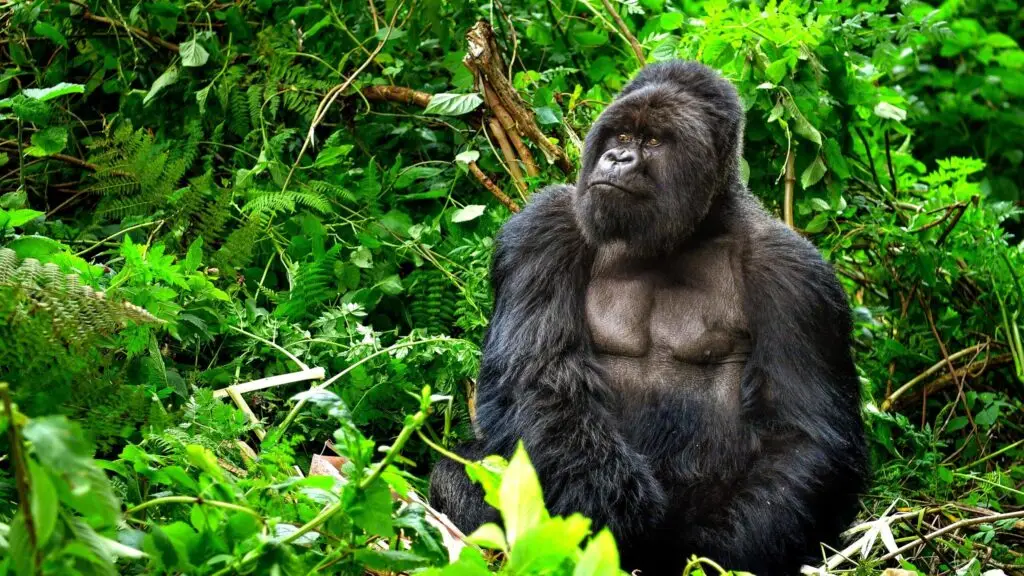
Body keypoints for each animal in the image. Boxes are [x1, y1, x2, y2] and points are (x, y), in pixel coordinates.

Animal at [430, 60, 868, 576]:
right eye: (620, 134)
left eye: (654, 142)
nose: (618, 158)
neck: (690, 231)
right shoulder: (544, 228)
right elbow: (538, 378)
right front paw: (612, 507)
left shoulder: (795, 276)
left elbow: (805, 436)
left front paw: (702, 553)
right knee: (457, 473)